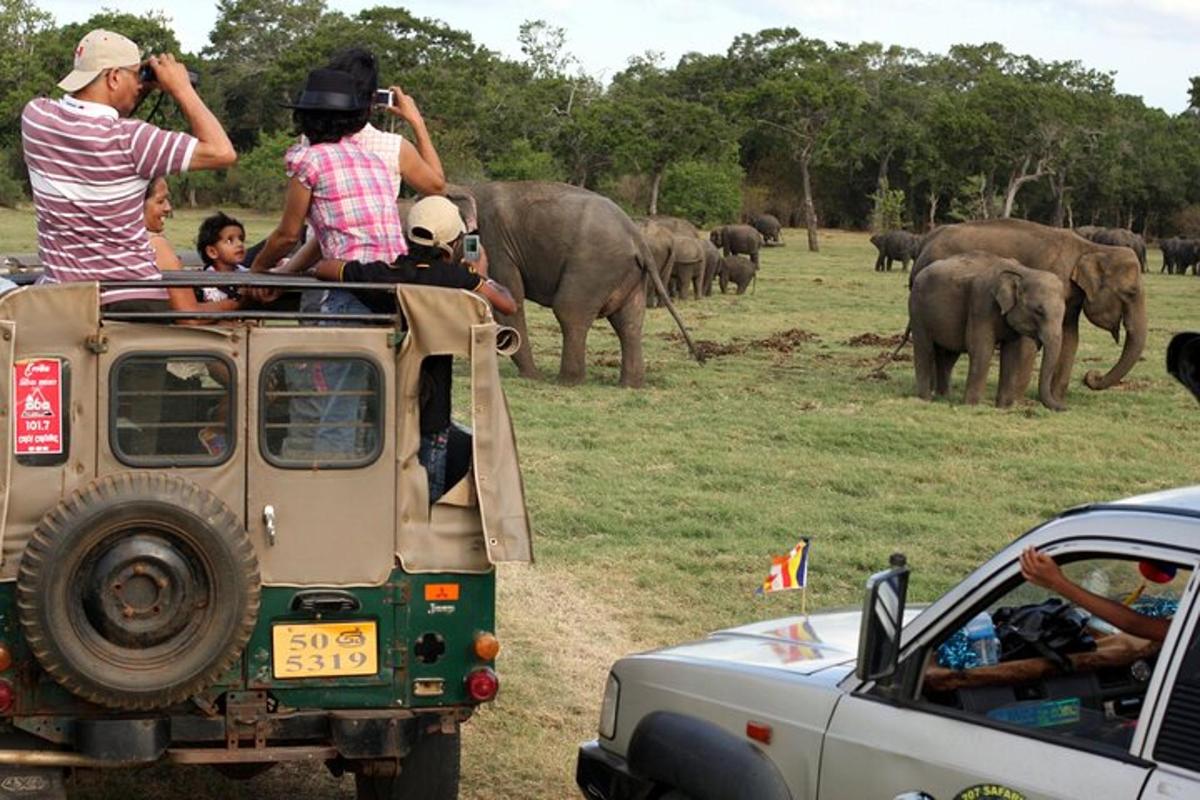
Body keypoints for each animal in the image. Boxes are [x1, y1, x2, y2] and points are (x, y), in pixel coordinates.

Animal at [446, 184, 700, 391]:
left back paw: (566, 381)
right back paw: (630, 385)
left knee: (569, 311)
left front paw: (531, 376)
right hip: (630, 276)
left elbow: (509, 301)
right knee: (629, 323)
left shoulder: (496, 246)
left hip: (593, 266)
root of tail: (638, 239)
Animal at [907, 251, 1070, 412]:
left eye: (1064, 313)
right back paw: (925, 399)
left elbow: (1012, 354)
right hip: (917, 310)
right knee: (925, 349)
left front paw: (1003, 409)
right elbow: (981, 348)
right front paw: (971, 406)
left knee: (948, 355)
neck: (1024, 271)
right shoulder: (982, 303)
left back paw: (944, 398)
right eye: (1039, 311)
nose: (1065, 407)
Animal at [912, 217, 1147, 400]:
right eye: (1131, 293)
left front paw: (1055, 400)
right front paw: (1018, 401)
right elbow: (1029, 343)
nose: (1091, 376)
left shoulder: (1071, 297)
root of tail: (925, 242)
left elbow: (1070, 337)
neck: (1091, 248)